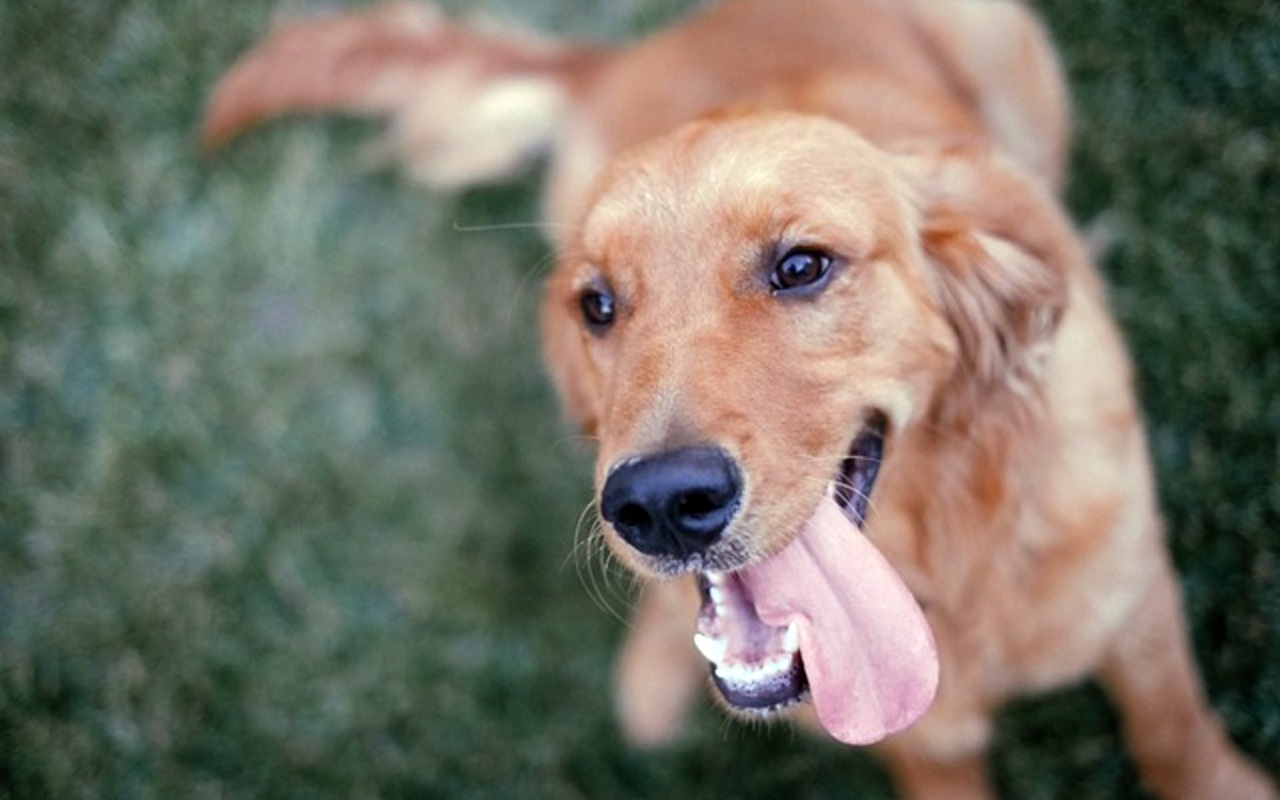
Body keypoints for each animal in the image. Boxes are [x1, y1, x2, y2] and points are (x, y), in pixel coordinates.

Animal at [204, 1, 1274, 793]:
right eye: (597, 304)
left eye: (802, 266)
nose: (660, 506)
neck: (946, 563)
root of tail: (635, 45)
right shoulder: (919, 740)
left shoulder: (1138, 604)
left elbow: (1174, 732)